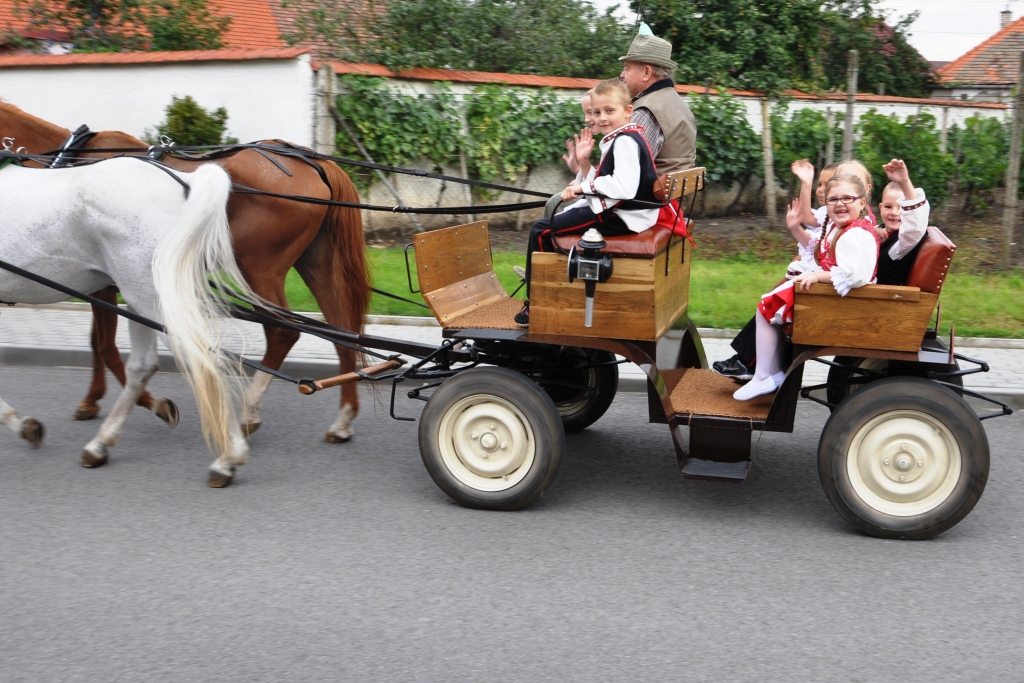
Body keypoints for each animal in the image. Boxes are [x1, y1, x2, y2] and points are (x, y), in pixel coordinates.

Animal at [0, 101, 369, 444]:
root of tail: (312, 162)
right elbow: (97, 342)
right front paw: (94, 400)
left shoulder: (102, 283)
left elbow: (104, 344)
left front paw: (147, 403)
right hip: (316, 263)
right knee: (343, 333)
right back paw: (343, 419)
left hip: (257, 269)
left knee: (283, 333)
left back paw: (249, 411)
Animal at [0, 158, 257, 486]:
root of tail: (184, 181)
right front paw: (24, 425)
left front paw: (21, 425)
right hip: (139, 299)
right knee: (143, 366)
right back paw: (99, 445)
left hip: (153, 299)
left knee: (203, 358)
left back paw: (227, 459)